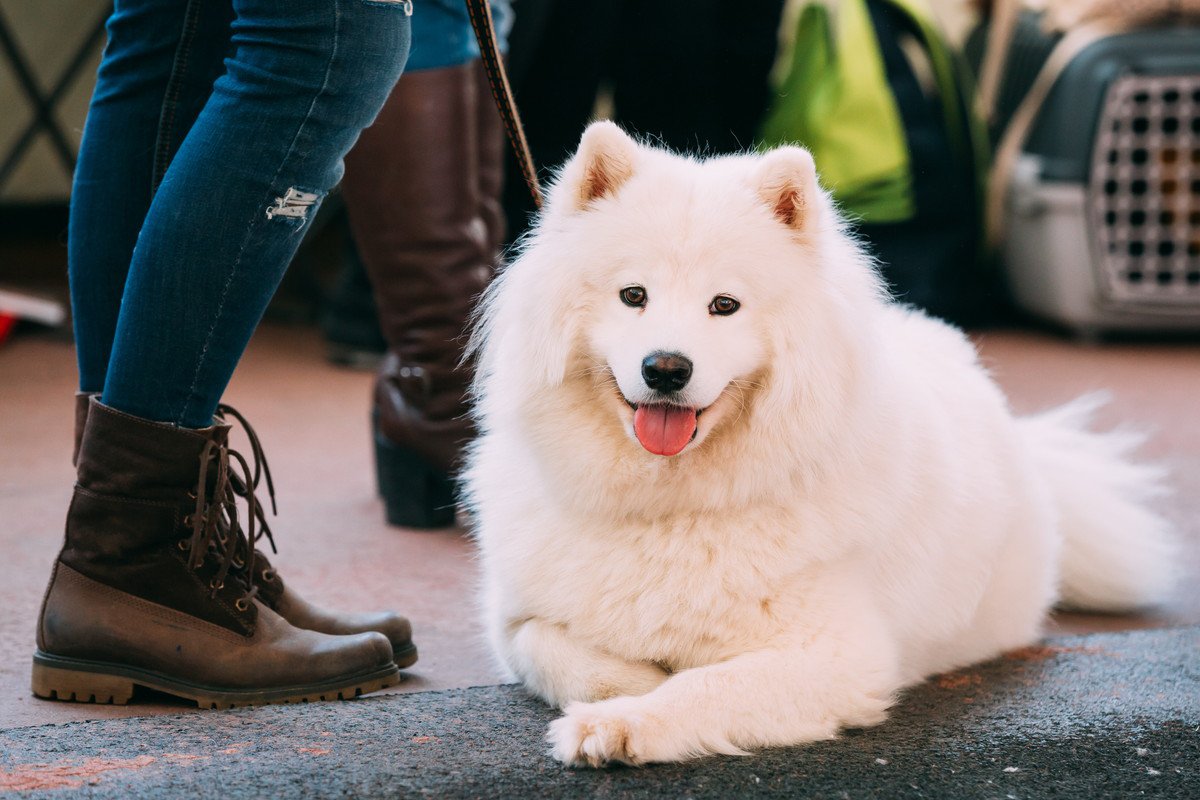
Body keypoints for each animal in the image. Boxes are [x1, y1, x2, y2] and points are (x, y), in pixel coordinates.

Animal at [463, 122, 1176, 767]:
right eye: (632, 295)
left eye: (725, 305)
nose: (666, 368)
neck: (670, 504)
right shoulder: (514, 620)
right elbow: (556, 650)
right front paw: (632, 685)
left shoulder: (834, 656)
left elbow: (707, 687)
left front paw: (621, 722)